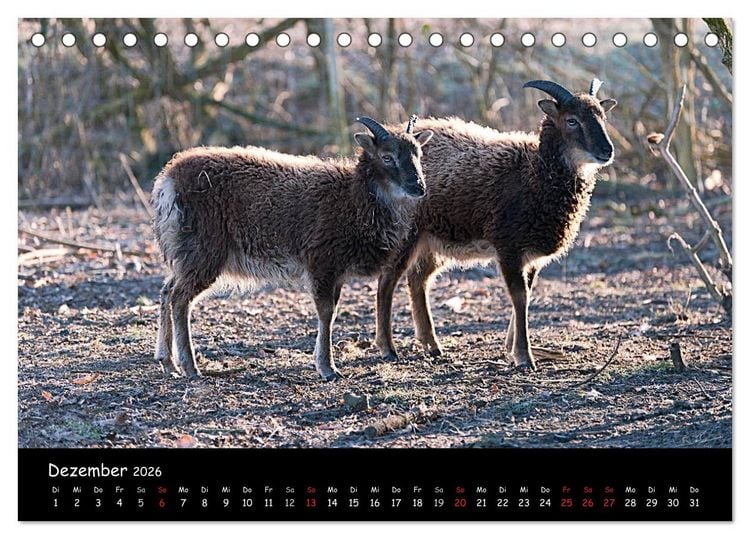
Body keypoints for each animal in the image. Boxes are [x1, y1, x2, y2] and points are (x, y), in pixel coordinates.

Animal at [152, 116, 433, 381]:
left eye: (418, 155)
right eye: (387, 157)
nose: (419, 187)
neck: (353, 200)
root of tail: (167, 183)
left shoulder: (337, 271)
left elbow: (332, 311)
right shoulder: (321, 261)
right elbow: (326, 312)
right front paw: (327, 368)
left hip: (184, 251)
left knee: (167, 290)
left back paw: (168, 363)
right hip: (203, 251)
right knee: (179, 298)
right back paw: (190, 367)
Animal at [375, 79, 617, 370]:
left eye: (602, 117)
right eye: (572, 120)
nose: (607, 151)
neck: (535, 172)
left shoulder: (531, 255)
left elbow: (527, 294)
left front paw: (511, 348)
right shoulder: (508, 245)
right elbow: (519, 296)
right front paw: (524, 357)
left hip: (433, 238)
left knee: (418, 279)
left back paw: (432, 345)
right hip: (406, 234)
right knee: (387, 280)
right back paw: (388, 349)